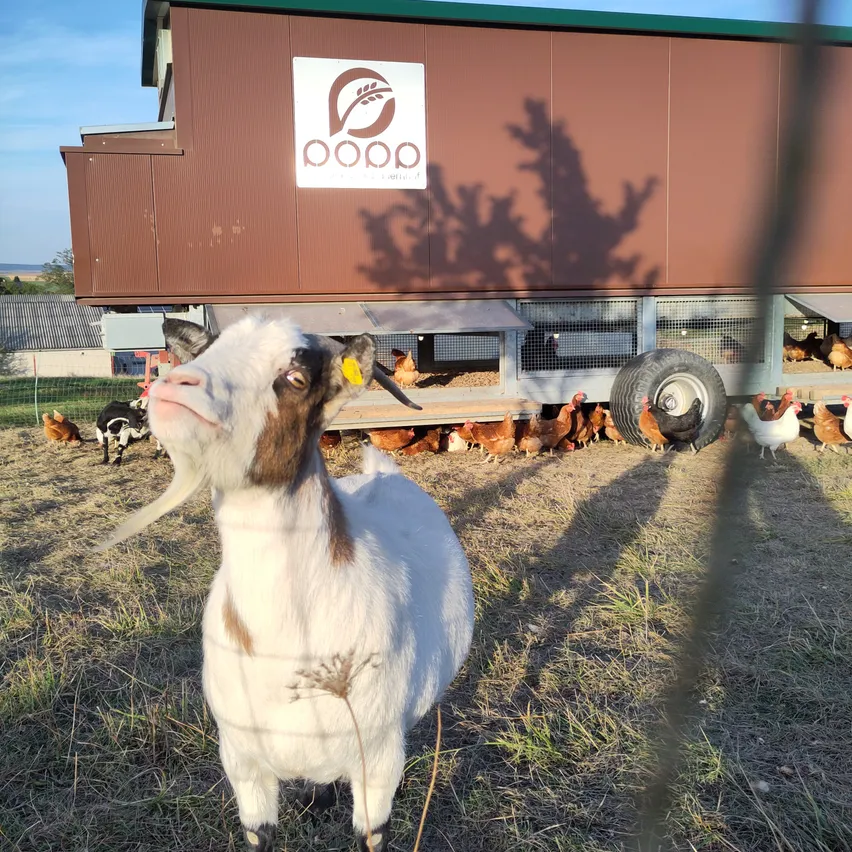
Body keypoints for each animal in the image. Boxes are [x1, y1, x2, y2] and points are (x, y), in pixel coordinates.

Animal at [96, 316, 472, 852]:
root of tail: (380, 471)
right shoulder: (242, 764)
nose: (174, 388)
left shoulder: (379, 763)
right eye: (205, 351)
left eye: (296, 379)